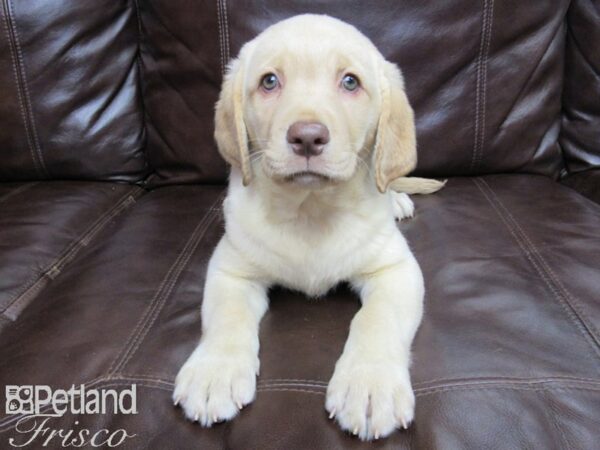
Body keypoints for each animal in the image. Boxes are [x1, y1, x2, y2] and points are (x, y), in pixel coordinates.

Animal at [171, 13, 442, 440]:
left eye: (350, 82)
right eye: (269, 81)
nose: (308, 137)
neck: (310, 209)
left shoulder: (396, 270)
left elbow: (376, 320)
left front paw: (370, 384)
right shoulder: (231, 268)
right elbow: (227, 315)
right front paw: (214, 372)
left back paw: (397, 198)